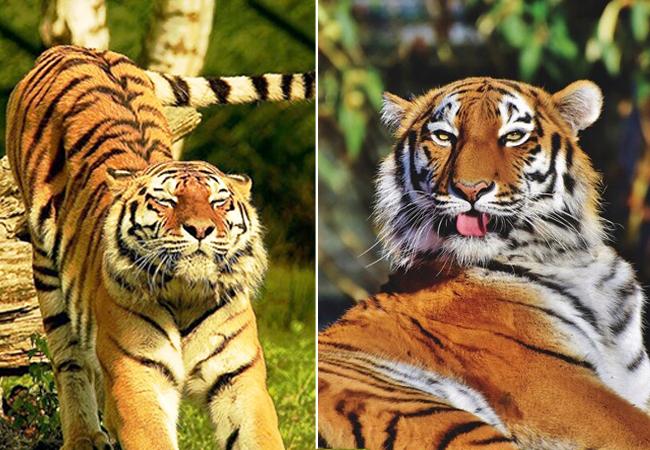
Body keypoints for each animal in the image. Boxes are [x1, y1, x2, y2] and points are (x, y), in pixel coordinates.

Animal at [5, 45, 313, 450]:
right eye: (166, 201)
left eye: (219, 202)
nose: (200, 229)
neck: (186, 295)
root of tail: (75, 48)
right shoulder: (138, 377)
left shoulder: (239, 380)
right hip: (46, 272)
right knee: (69, 362)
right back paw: (85, 437)